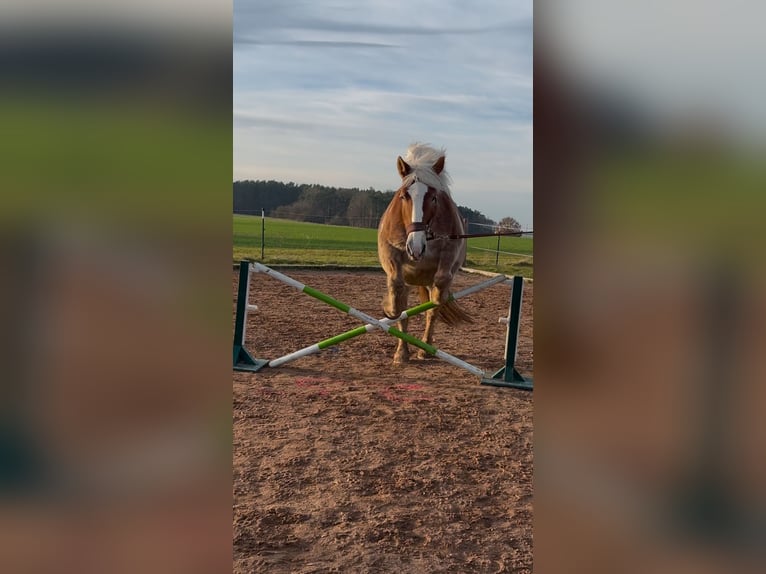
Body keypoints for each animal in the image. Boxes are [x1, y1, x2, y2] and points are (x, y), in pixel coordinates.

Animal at [380, 143, 474, 364]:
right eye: (404, 196)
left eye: (433, 197)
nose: (415, 247)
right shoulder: (390, 252)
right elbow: (396, 289)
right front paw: (389, 307)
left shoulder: (449, 253)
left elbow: (439, 289)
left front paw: (441, 297)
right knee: (404, 310)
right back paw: (402, 352)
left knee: (432, 310)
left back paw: (425, 348)